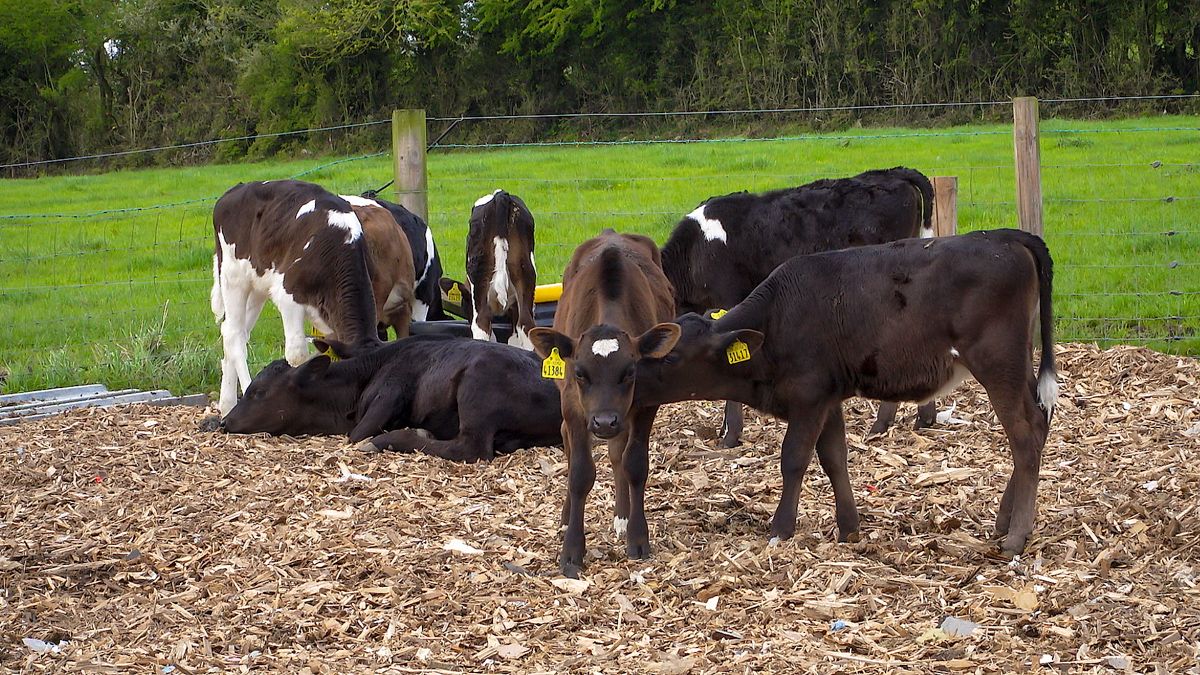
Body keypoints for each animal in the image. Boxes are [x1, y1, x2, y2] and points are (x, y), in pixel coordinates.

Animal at [211, 179, 414, 415]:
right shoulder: (288, 297)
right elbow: (297, 356)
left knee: (234, 331)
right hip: (233, 276)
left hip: (257, 285)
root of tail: (236, 189)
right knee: (234, 334)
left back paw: (227, 405)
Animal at [219, 334, 563, 462]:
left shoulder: (389, 391)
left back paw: (394, 438)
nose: (224, 422)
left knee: (470, 448)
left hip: (477, 386)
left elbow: (356, 435)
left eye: (258, 392)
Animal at [528, 229, 680, 577]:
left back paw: (621, 517)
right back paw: (566, 516)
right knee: (570, 445)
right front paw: (571, 550)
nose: (604, 421)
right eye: (580, 372)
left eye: (630, 371)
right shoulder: (573, 405)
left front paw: (637, 536)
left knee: (617, 453)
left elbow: (634, 463)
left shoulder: (644, 404)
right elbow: (580, 473)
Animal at [635, 229, 1056, 558]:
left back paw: (1016, 535)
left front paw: (781, 528)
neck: (776, 320)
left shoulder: (807, 397)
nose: (634, 375)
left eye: (671, 356)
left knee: (1025, 435)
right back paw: (1005, 520)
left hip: (998, 361)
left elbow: (794, 458)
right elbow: (834, 457)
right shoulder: (828, 398)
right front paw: (849, 526)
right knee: (1039, 423)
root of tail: (1005, 236)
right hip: (1017, 365)